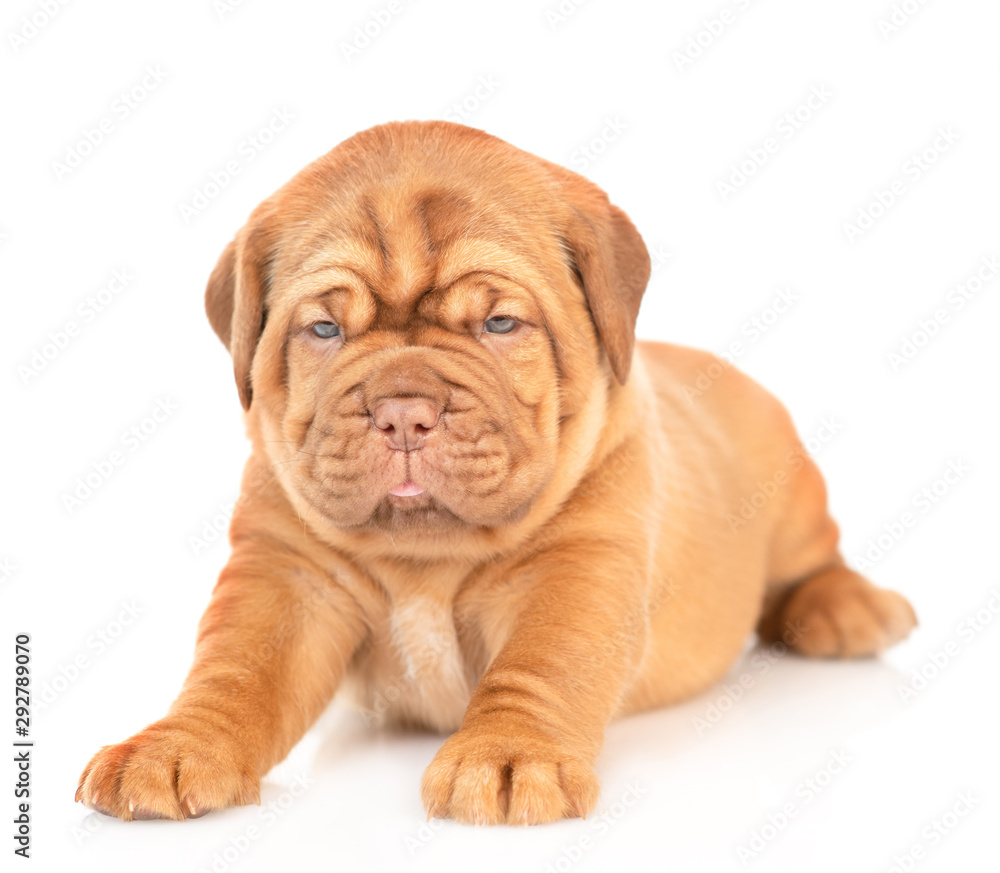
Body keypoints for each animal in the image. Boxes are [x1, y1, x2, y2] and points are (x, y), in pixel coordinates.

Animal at [76, 121, 916, 824]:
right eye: (323, 329)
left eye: (499, 322)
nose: (402, 411)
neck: (425, 554)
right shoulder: (288, 572)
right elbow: (238, 667)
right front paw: (175, 745)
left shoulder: (577, 569)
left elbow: (540, 665)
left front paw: (510, 757)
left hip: (793, 490)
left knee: (814, 559)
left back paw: (846, 607)